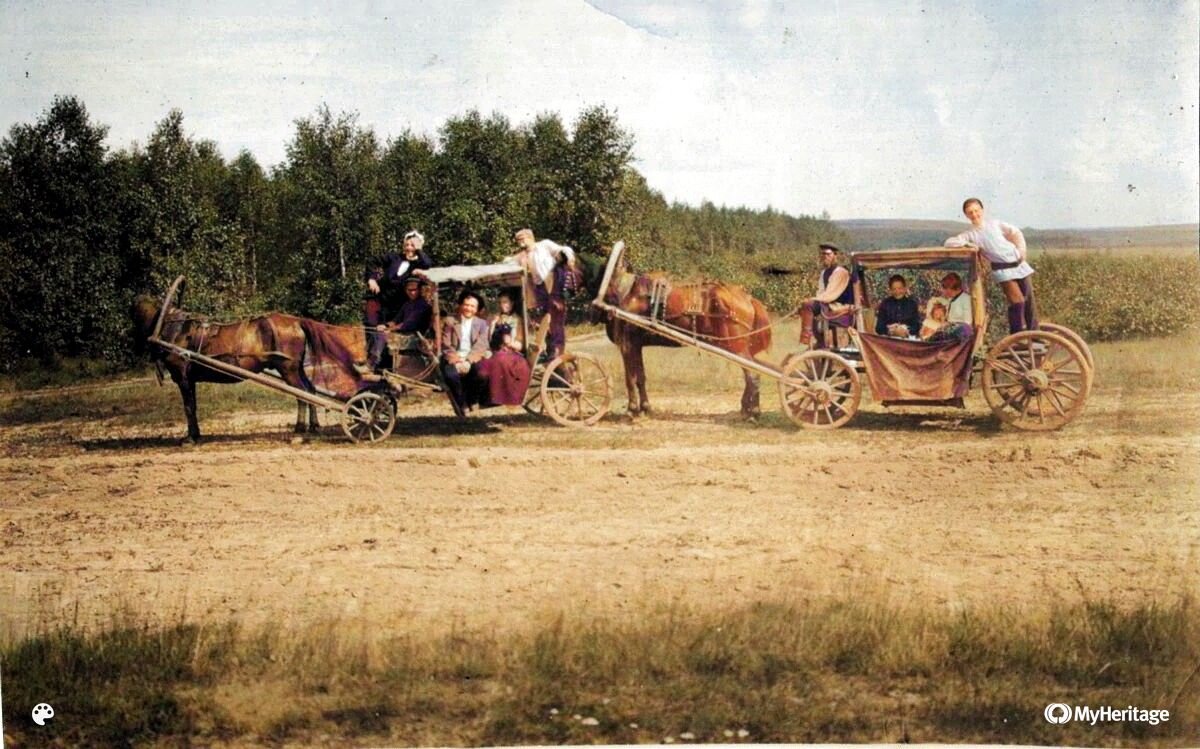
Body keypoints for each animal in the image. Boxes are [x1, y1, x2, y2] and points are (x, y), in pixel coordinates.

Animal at [132, 294, 364, 444]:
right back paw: (313, 426)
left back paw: (299, 428)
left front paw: (190, 437)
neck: (175, 330)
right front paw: (196, 434)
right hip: (296, 368)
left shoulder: (182, 377)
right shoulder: (190, 379)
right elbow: (193, 406)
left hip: (287, 369)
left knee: (301, 394)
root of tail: (296, 321)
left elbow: (189, 406)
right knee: (310, 390)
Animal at [604, 253, 772, 415]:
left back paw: (752, 412)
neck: (623, 291)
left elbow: (630, 378)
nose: (620, 309)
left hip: (737, 348)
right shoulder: (636, 346)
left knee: (753, 375)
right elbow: (640, 377)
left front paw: (632, 409)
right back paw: (748, 409)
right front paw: (645, 407)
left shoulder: (627, 345)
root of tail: (748, 298)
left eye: (642, 294)